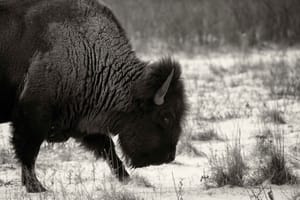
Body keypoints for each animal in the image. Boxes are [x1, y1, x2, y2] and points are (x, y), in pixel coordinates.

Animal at [0, 0, 186, 193]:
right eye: (166, 116)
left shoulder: (82, 121)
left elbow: (107, 147)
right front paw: (36, 187)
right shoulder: (33, 116)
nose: (169, 156)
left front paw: (126, 179)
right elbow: (28, 152)